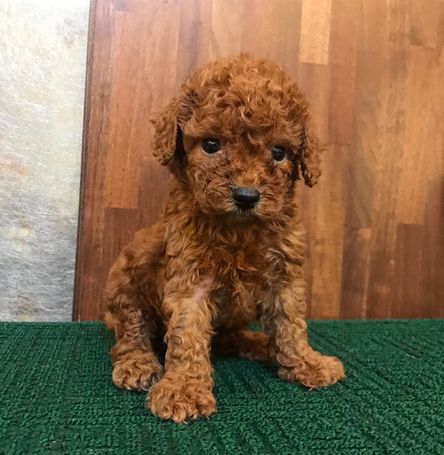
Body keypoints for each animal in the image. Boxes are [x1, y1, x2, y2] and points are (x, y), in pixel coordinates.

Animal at [104, 56, 344, 424]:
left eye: (279, 152)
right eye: (211, 145)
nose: (246, 196)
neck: (238, 230)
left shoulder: (284, 276)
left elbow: (290, 323)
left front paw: (306, 362)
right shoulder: (190, 278)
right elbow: (186, 334)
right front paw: (184, 389)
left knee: (229, 338)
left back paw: (261, 345)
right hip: (125, 281)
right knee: (130, 330)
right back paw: (138, 362)